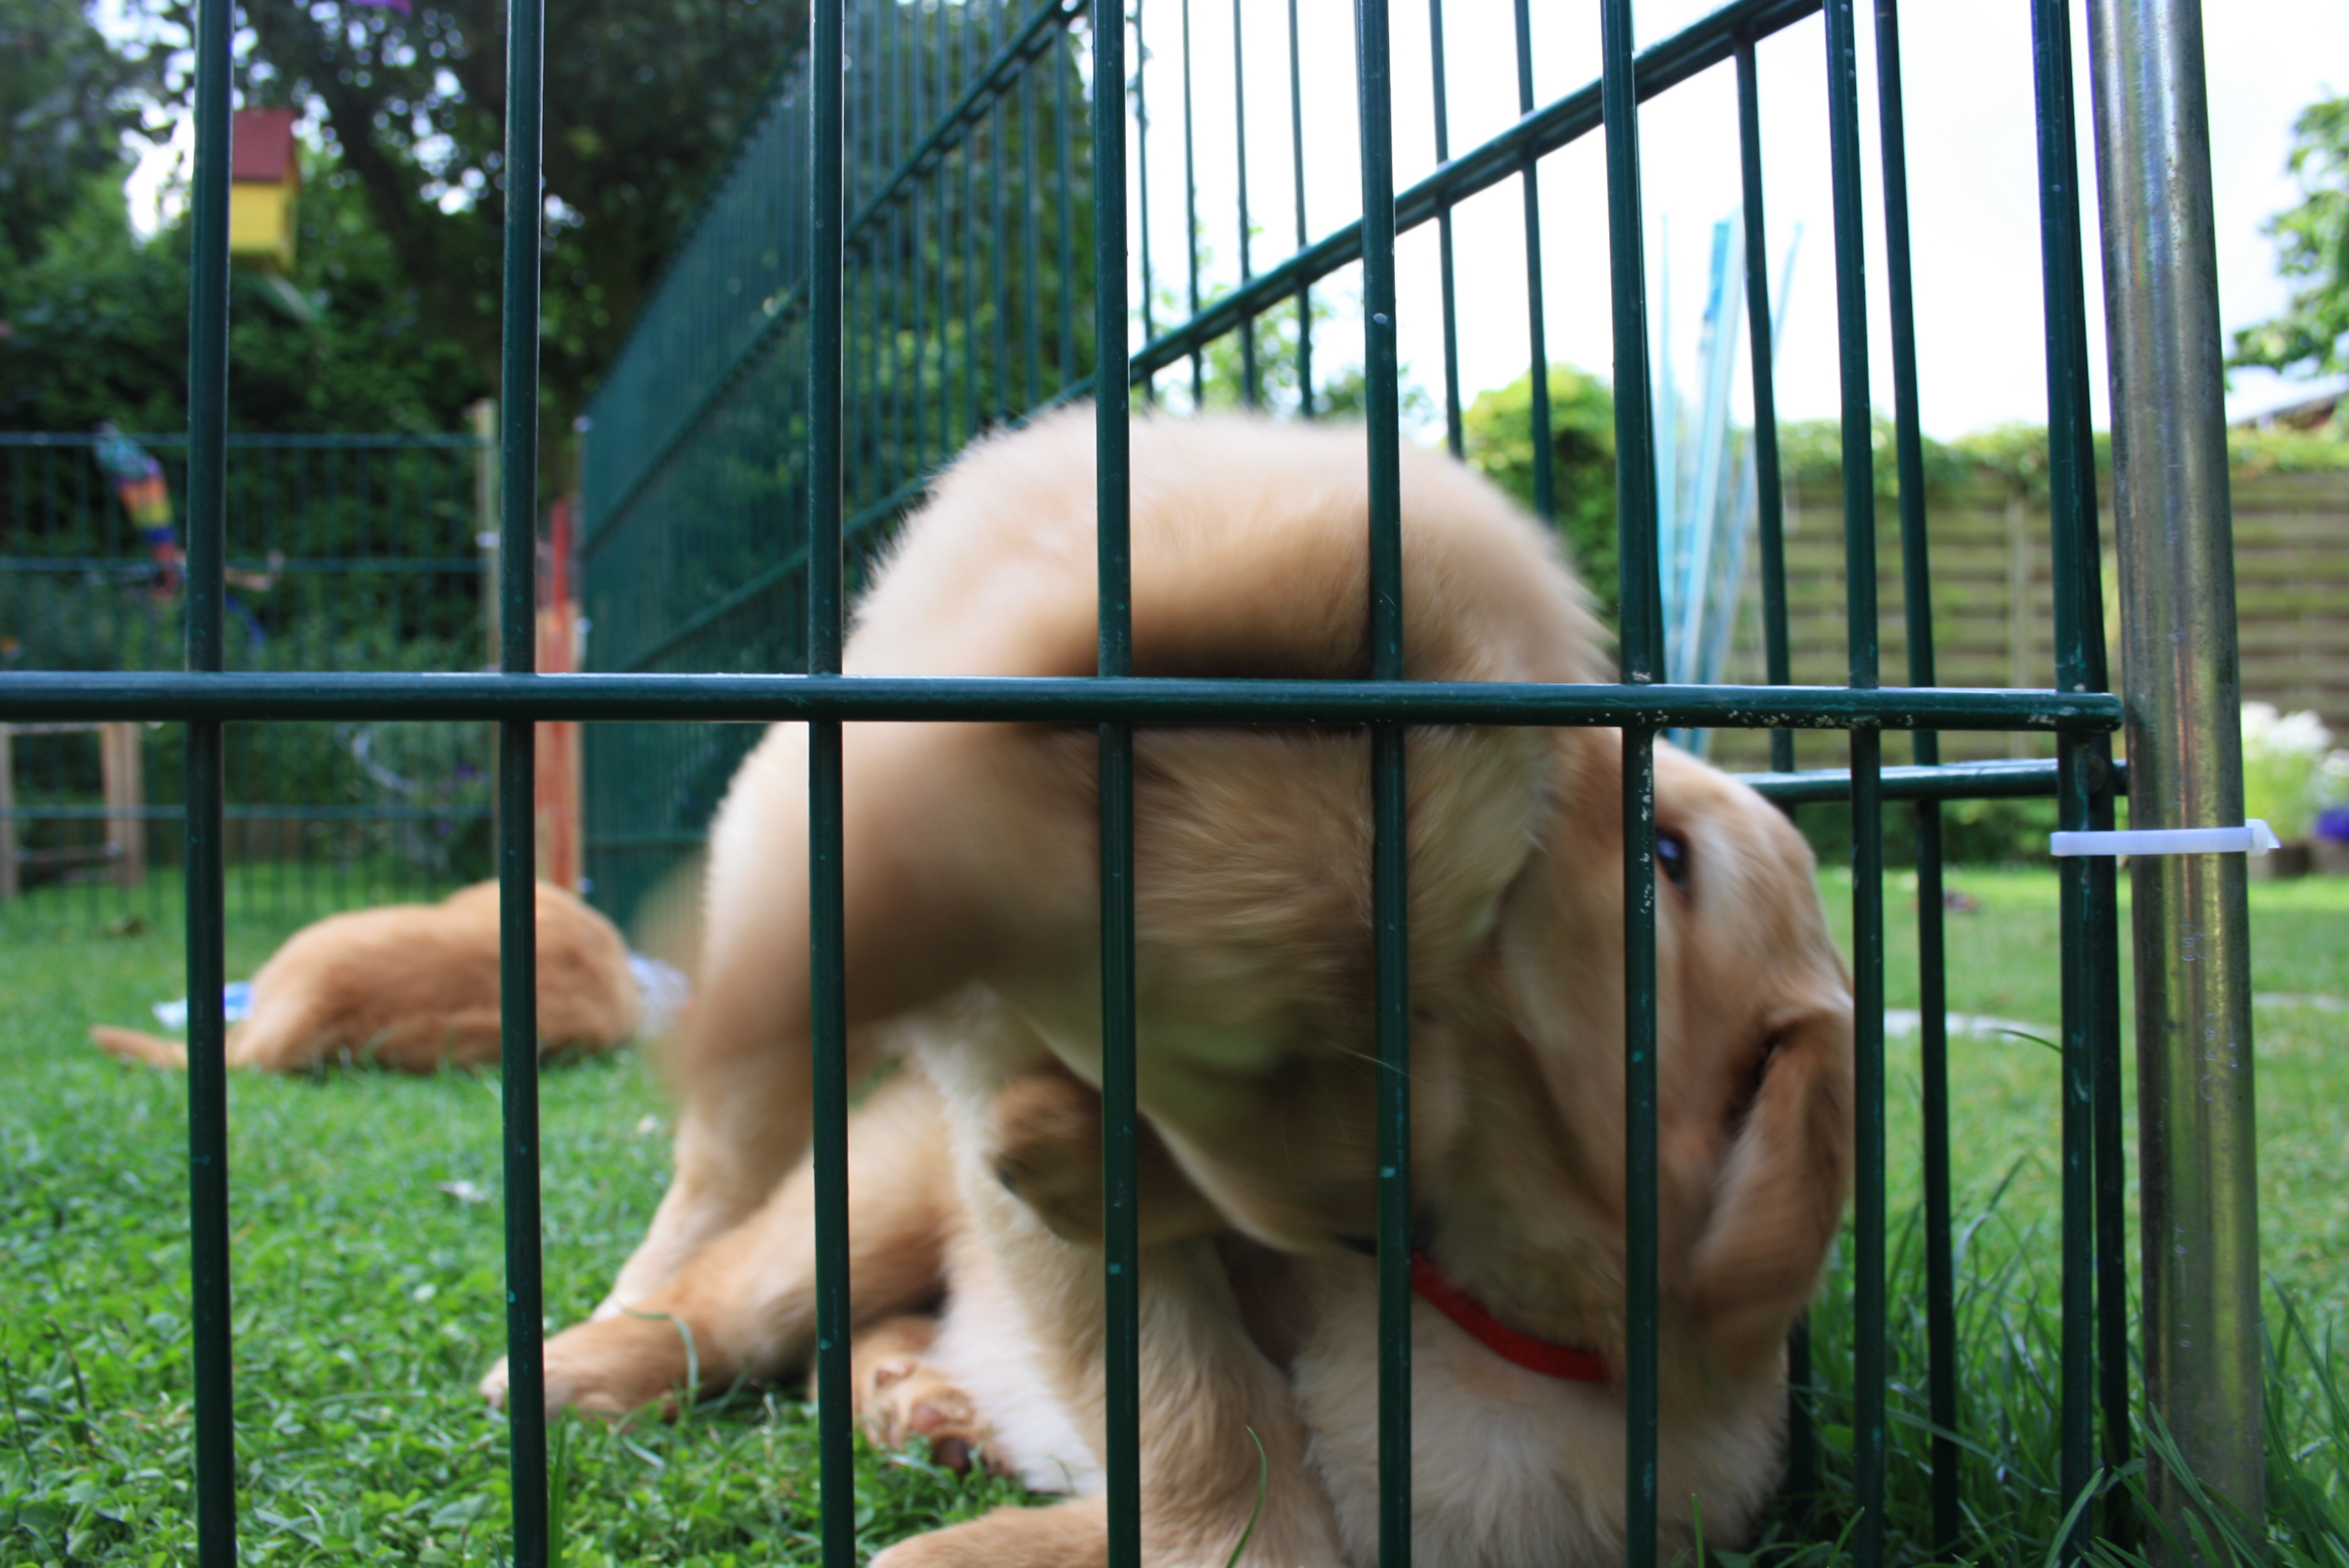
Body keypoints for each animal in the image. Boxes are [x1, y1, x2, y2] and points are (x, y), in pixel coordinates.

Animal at [488, 411, 1854, 1566]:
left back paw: (923, 1399)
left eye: (1433, 990)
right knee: (727, 1245)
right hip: (837, 1158)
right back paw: (579, 1357)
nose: (1363, 1225)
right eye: (1659, 853)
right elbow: (1181, 1399)